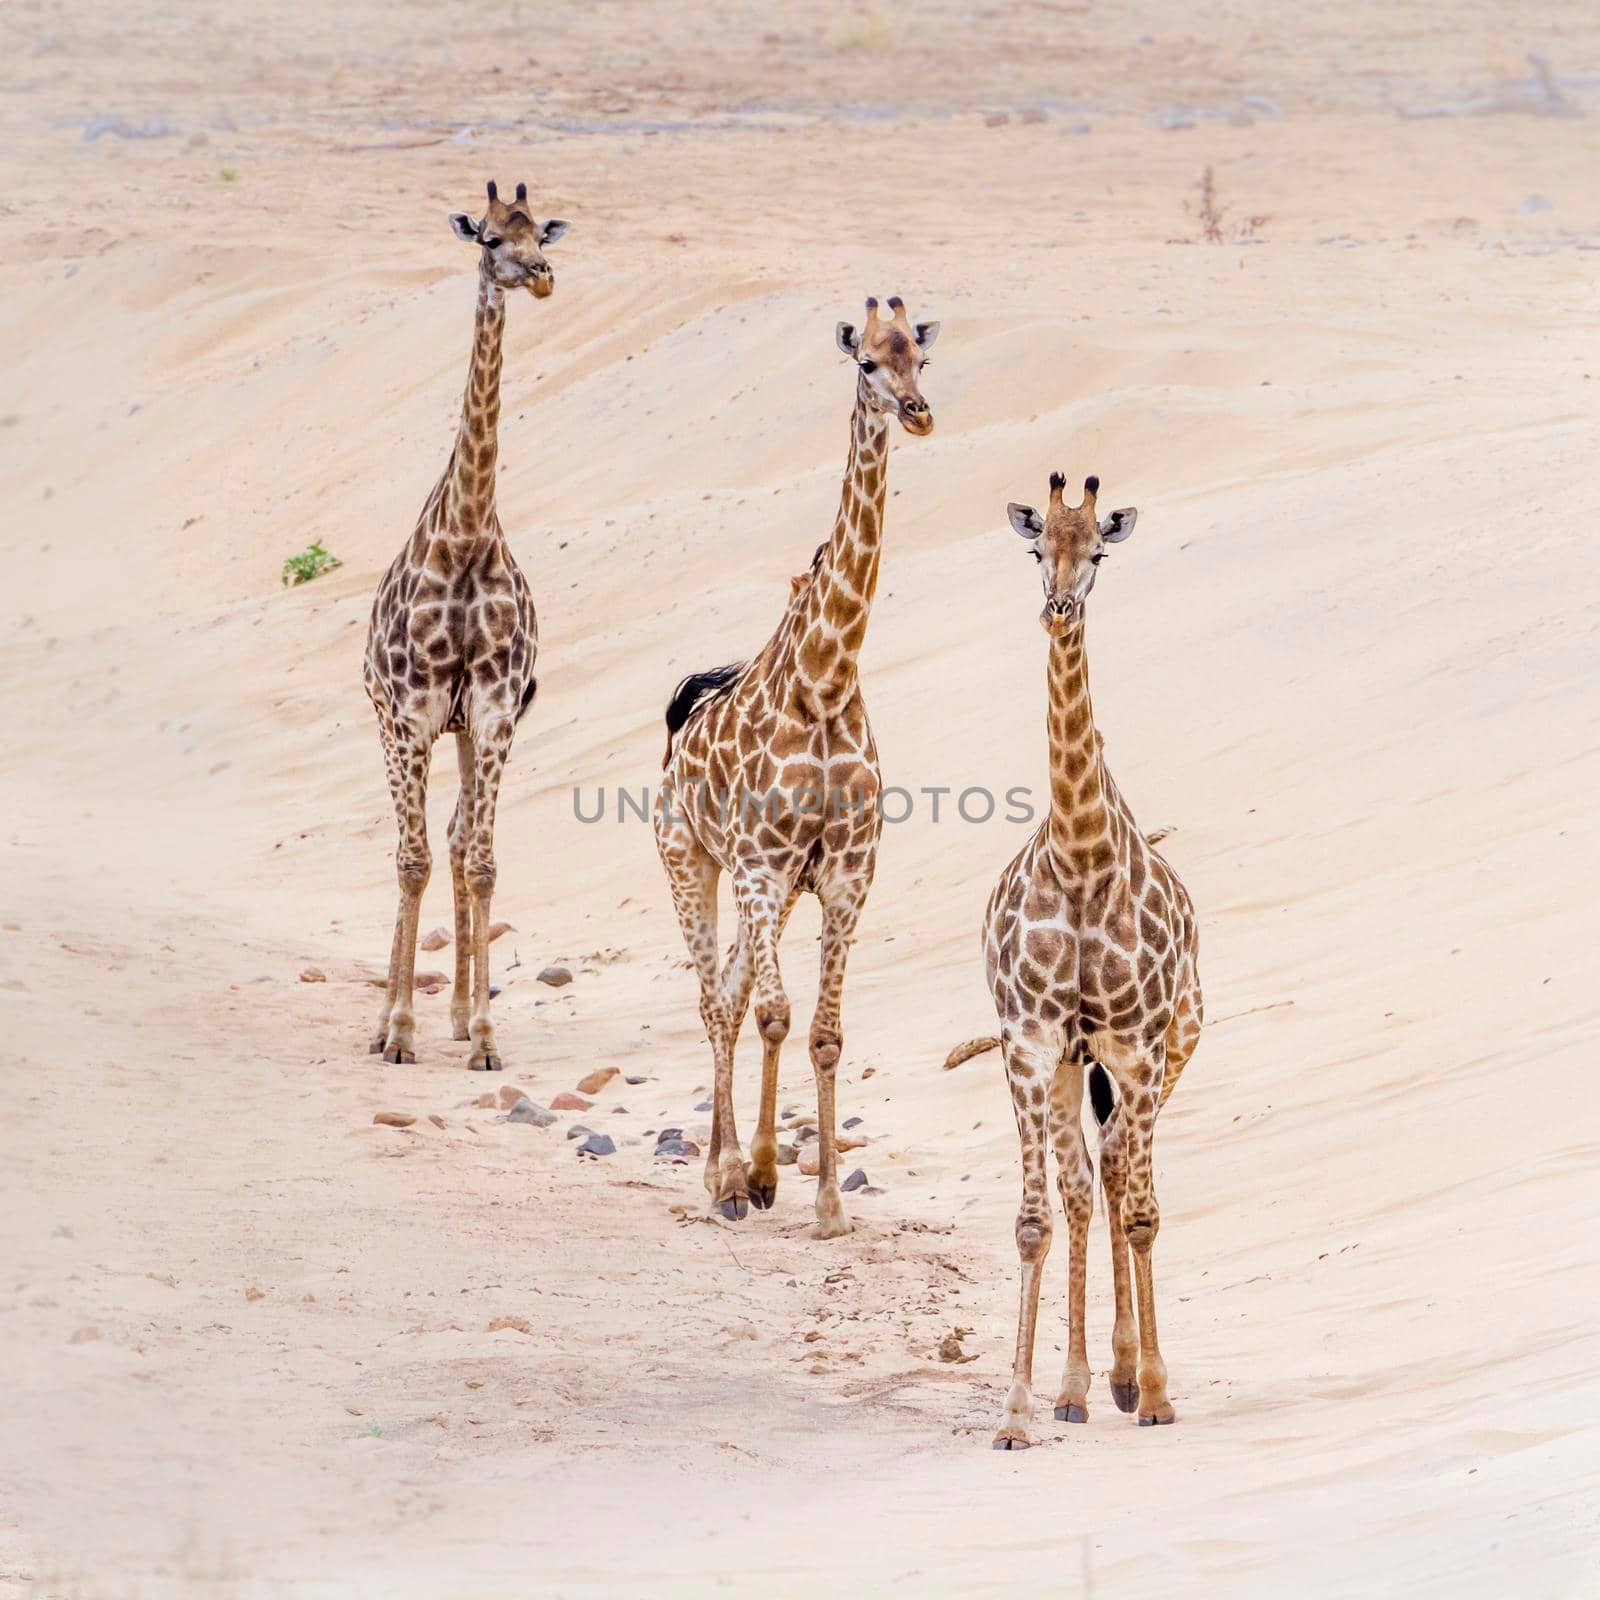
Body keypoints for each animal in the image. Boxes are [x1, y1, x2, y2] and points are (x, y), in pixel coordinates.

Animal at [656, 294, 934, 1228]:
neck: (824, 676)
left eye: (920, 356)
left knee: (734, 992)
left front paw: (824, 1204)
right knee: (717, 999)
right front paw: (751, 1174)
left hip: (759, 886)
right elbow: (776, 1013)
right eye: (867, 364)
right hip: (693, 862)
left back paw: (747, 1170)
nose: (918, 413)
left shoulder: (846, 875)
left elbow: (822, 1031)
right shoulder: (760, 866)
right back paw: (722, 1174)